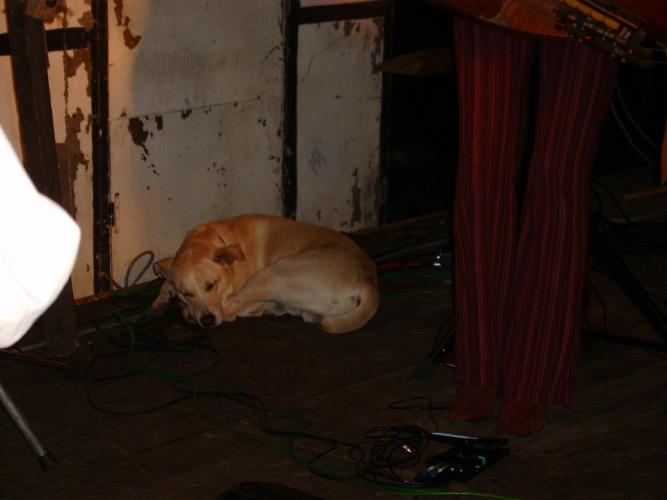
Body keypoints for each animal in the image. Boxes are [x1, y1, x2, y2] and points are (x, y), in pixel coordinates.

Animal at [150, 213, 379, 333]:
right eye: (187, 293)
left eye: (211, 285)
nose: (206, 320)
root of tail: (368, 281)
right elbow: (166, 282)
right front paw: (161, 301)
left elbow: (227, 308)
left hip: (270, 274)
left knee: (231, 311)